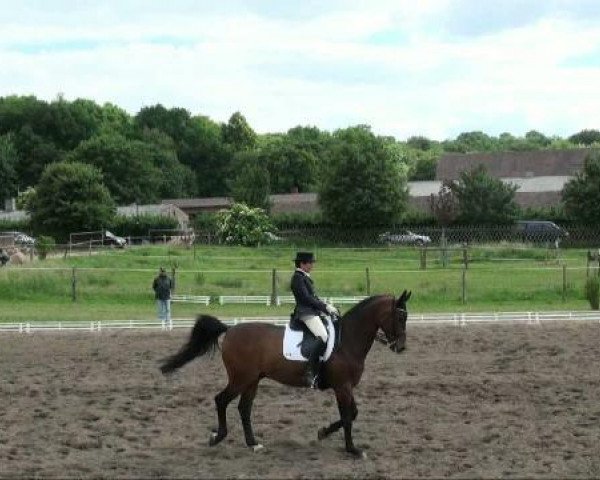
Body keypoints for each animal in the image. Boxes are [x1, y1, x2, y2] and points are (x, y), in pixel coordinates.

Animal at [161, 288, 412, 458]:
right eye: (400, 317)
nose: (401, 347)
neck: (347, 340)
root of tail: (230, 329)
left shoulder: (346, 387)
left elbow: (353, 414)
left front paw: (323, 433)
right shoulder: (342, 387)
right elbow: (349, 417)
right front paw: (353, 449)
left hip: (252, 380)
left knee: (244, 408)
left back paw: (253, 443)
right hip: (240, 378)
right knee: (221, 400)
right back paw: (217, 437)